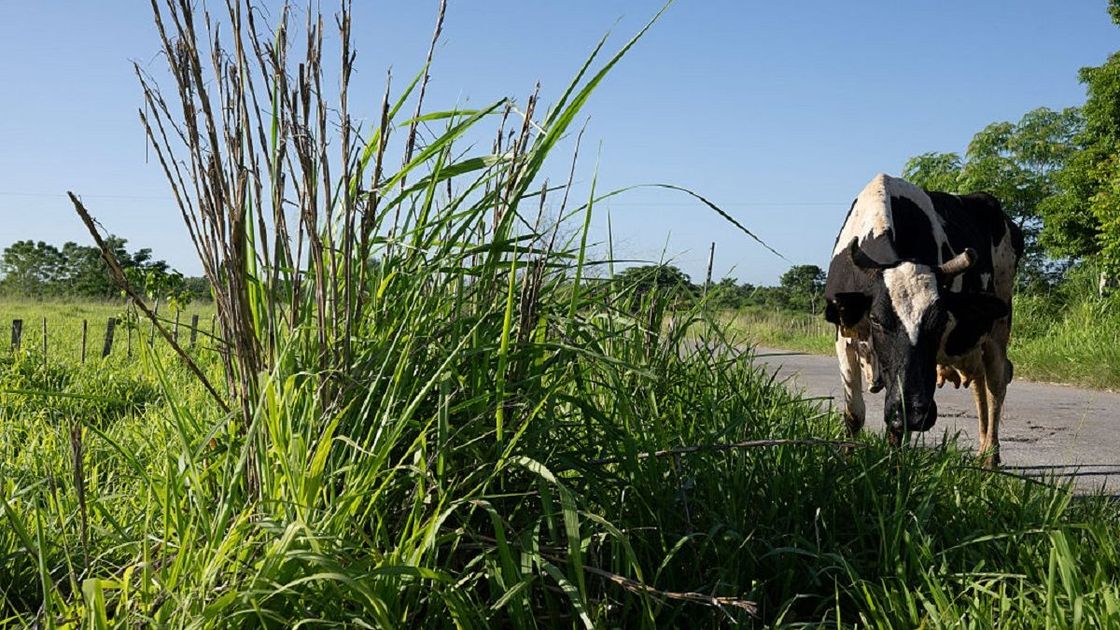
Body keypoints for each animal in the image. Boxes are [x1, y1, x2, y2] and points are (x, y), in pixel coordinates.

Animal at [823, 174, 1023, 466]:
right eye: (876, 319)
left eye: (940, 321)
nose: (915, 413)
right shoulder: (843, 335)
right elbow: (854, 414)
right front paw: (847, 462)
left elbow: (895, 429)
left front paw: (894, 467)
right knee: (979, 382)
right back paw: (982, 451)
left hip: (999, 326)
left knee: (996, 384)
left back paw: (991, 457)